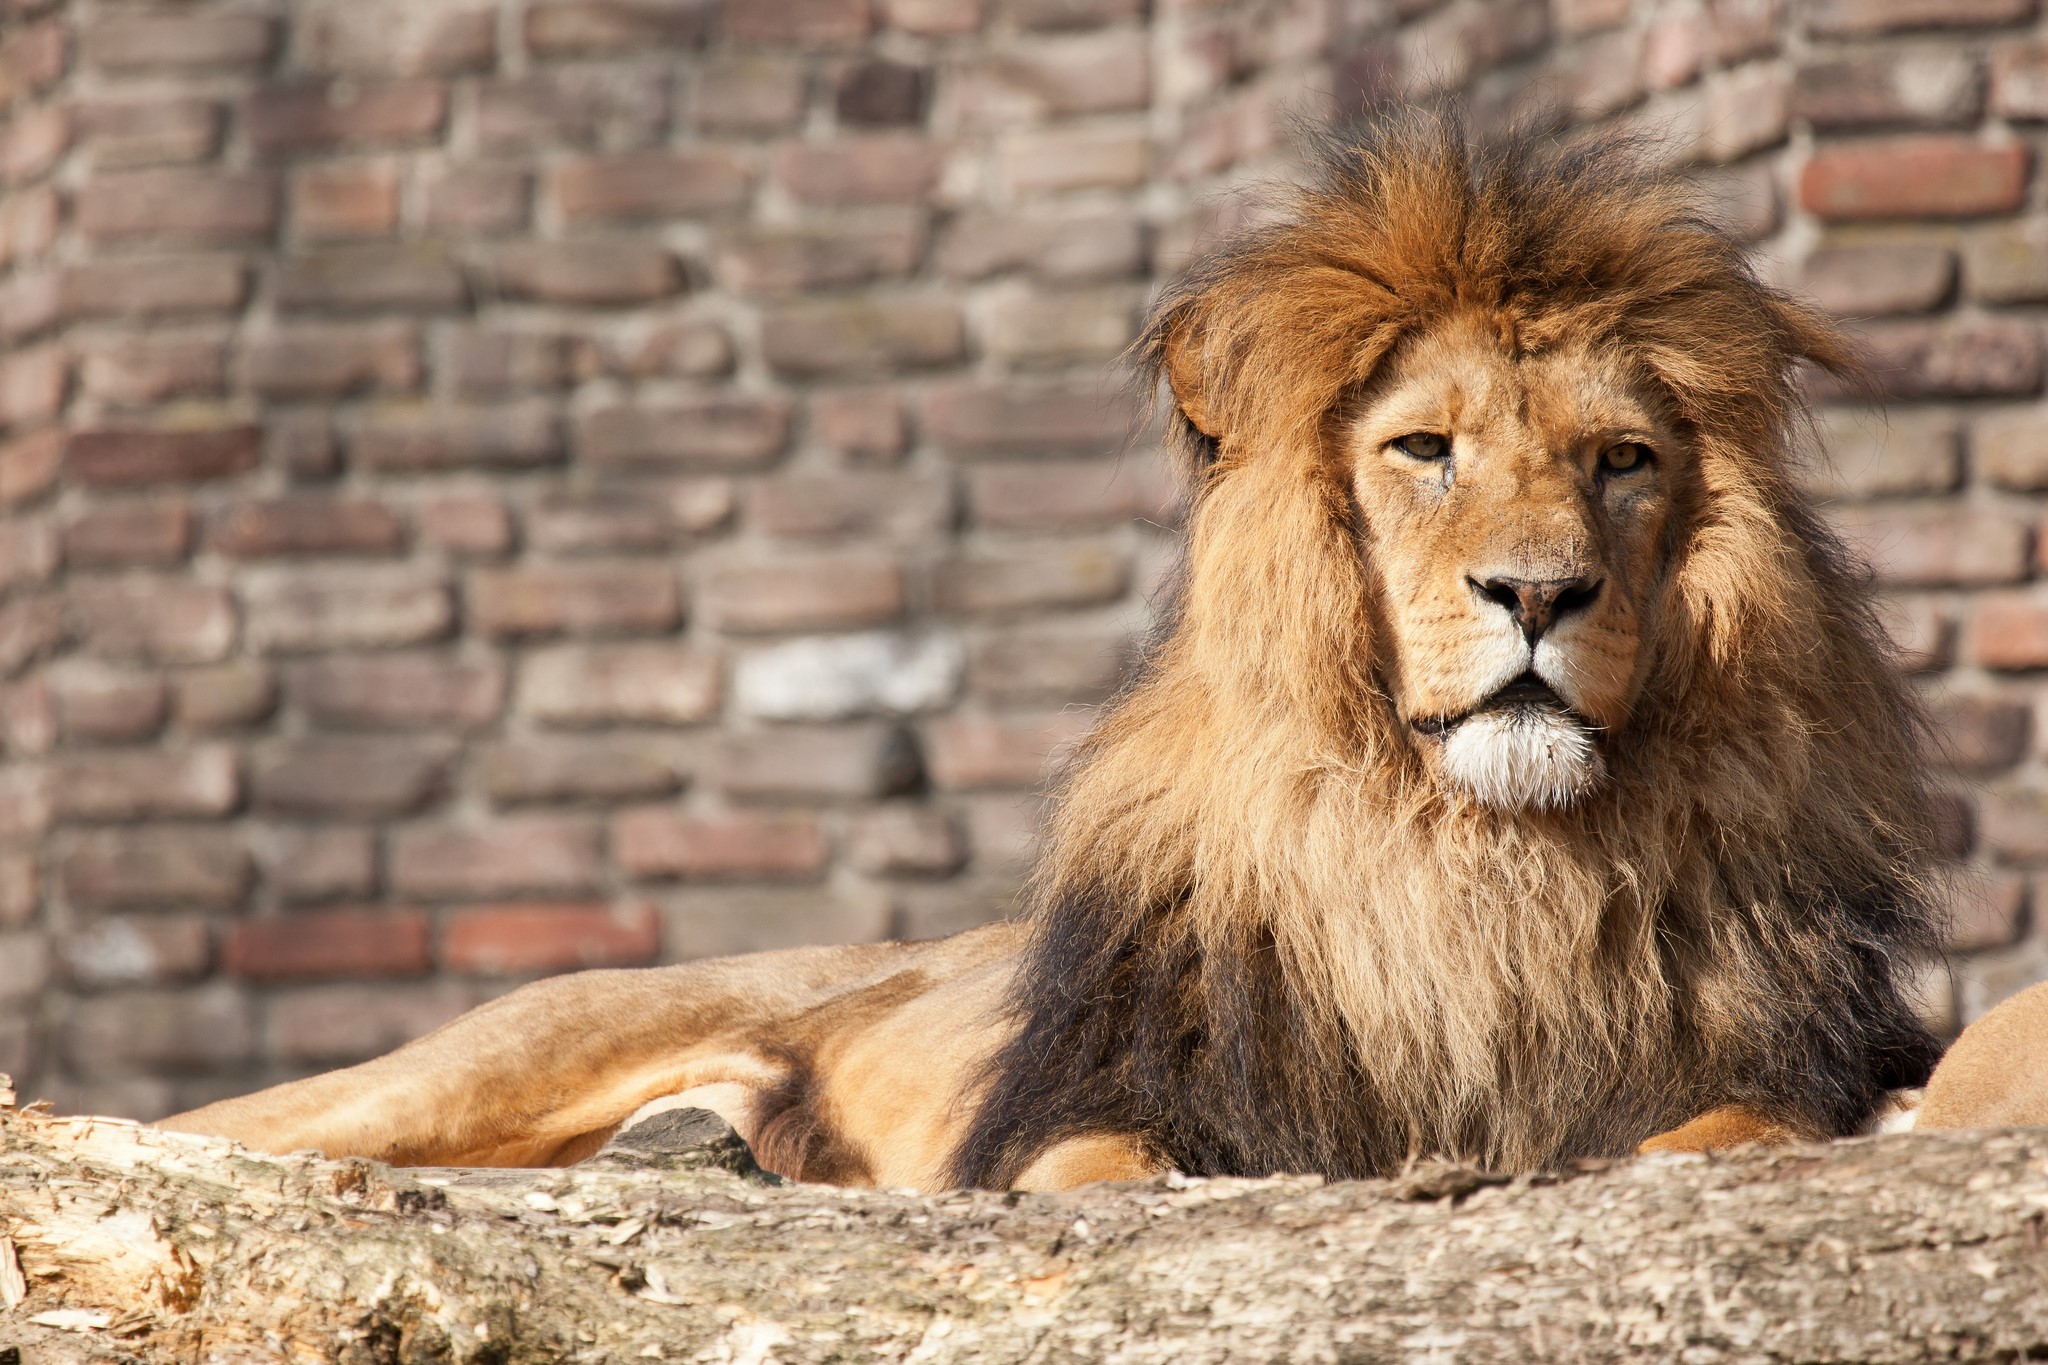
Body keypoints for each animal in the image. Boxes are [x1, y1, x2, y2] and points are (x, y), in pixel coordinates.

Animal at [158, 113, 1975, 1190]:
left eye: (1620, 462)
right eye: (1424, 450)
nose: (1538, 594)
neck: (1469, 867)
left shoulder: (1773, 1059)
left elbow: (1726, 1125)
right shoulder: (1108, 1100)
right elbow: (1108, 1168)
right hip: (485, 1059)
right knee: (232, 1130)